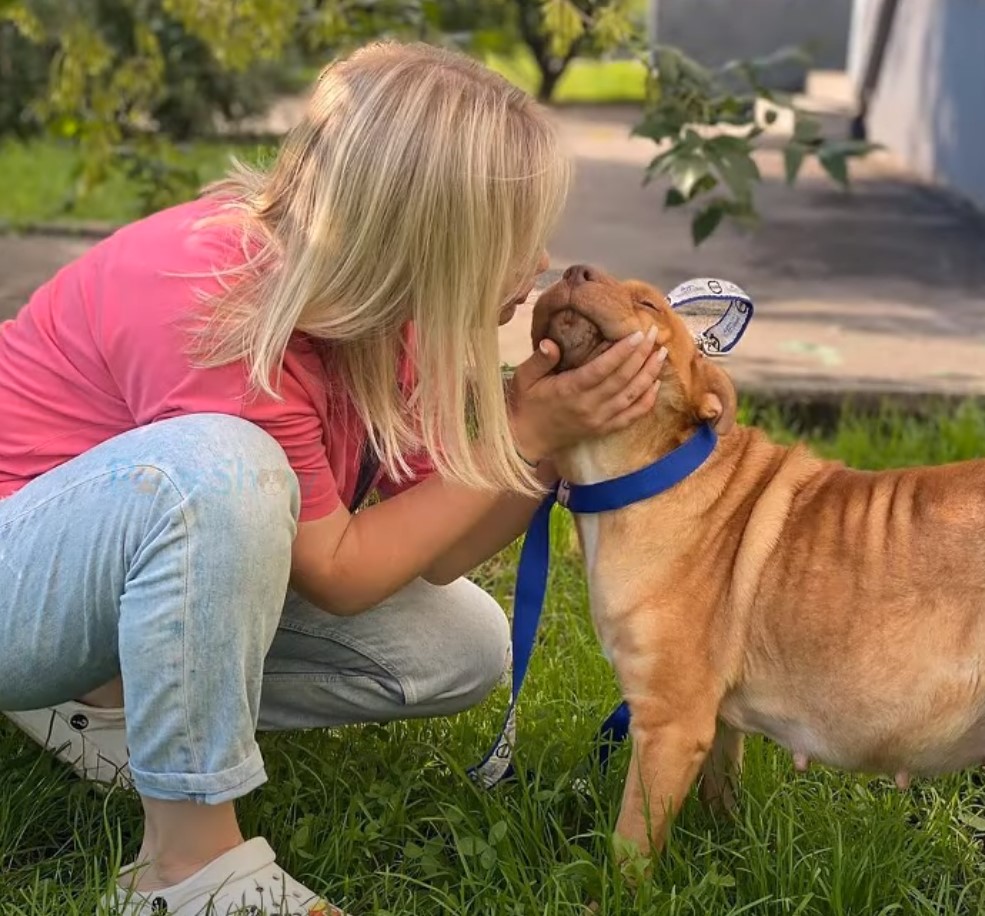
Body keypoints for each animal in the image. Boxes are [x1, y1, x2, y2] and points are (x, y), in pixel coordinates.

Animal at [536, 262, 985, 860]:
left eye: (649, 305)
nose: (574, 268)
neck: (648, 472)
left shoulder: (670, 723)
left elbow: (630, 844)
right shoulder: (716, 726)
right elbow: (721, 798)